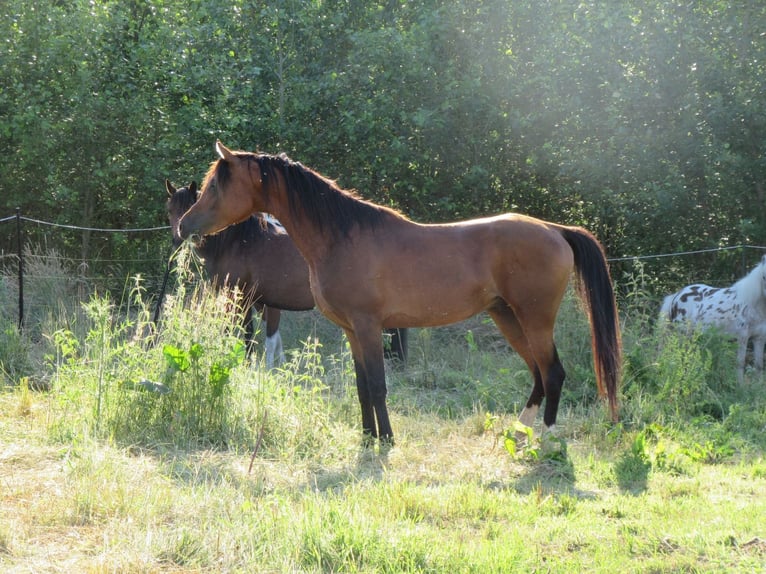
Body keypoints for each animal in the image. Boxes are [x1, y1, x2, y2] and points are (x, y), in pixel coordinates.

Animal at [180, 143, 624, 446]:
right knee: (537, 374)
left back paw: (545, 439)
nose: (185, 225)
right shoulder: (351, 331)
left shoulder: (369, 326)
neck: (341, 237)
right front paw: (367, 438)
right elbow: (362, 386)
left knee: (553, 372)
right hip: (507, 316)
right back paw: (519, 431)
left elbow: (378, 385)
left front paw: (387, 439)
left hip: (534, 318)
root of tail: (555, 230)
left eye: (217, 184)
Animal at [660, 258, 766, 388]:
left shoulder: (759, 338)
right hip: (682, 335)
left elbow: (759, 365)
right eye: (764, 277)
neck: (752, 304)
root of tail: (676, 296)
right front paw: (740, 386)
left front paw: (758, 387)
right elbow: (740, 363)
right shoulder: (742, 337)